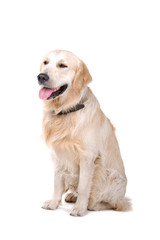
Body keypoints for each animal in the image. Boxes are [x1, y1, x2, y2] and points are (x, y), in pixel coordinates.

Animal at [37, 49, 130, 217]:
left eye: (63, 65)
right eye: (45, 62)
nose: (41, 76)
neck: (66, 110)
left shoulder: (87, 157)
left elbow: (83, 186)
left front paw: (80, 208)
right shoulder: (57, 155)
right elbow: (57, 184)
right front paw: (53, 204)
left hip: (112, 176)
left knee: (116, 203)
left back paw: (93, 205)